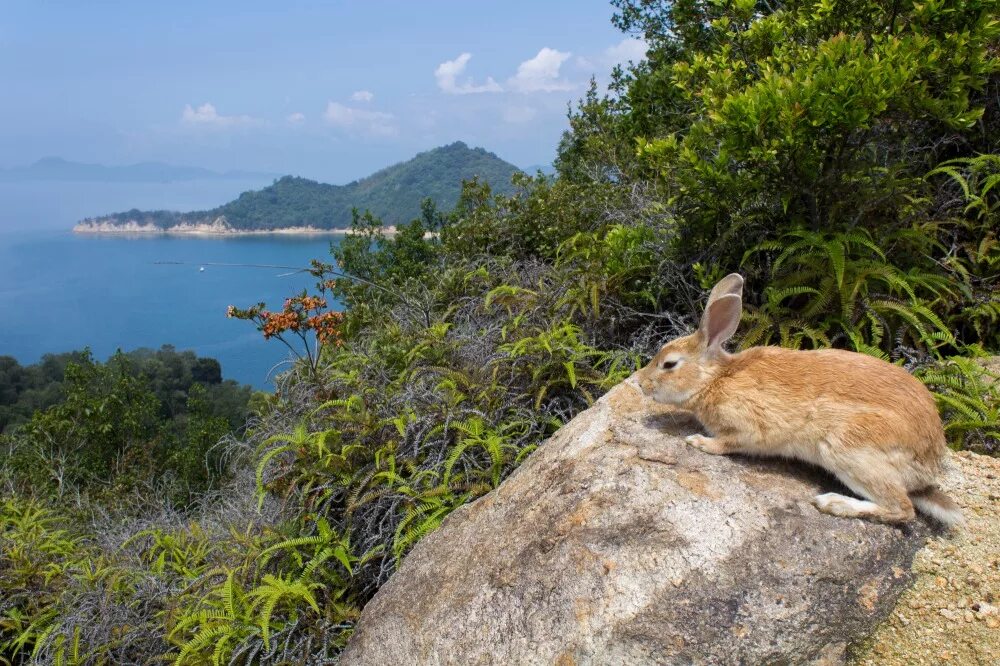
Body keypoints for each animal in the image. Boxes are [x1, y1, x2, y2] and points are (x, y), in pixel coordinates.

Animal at [636, 272, 964, 528]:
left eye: (669, 365)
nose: (640, 382)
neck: (715, 379)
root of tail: (930, 461)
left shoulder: (750, 427)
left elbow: (728, 443)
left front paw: (699, 442)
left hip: (849, 448)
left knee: (903, 509)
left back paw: (833, 504)